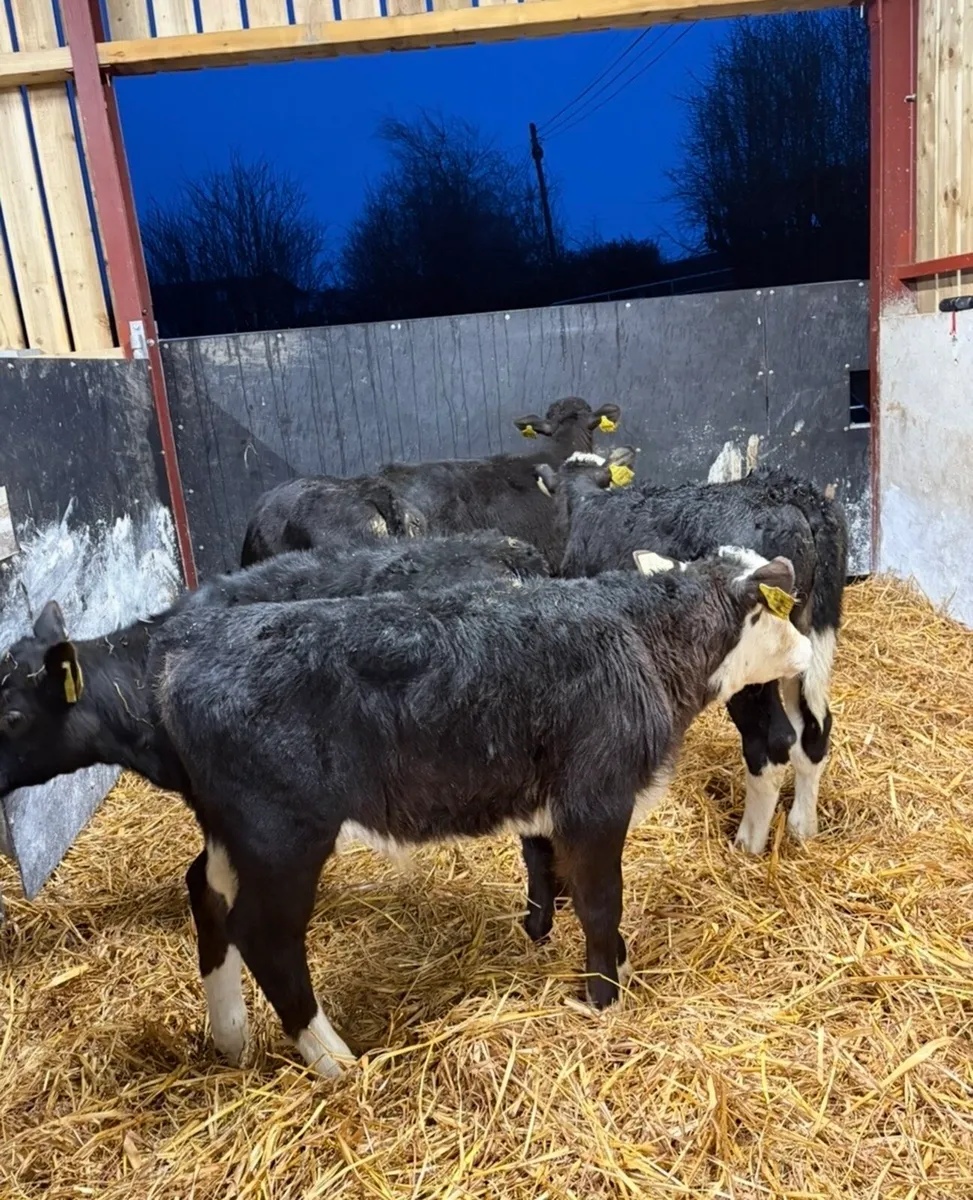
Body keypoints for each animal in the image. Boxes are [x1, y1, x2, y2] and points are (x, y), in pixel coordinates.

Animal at [128, 549, 812, 1077]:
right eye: (783, 611)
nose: (807, 650)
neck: (643, 639)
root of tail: (185, 649)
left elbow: (554, 878)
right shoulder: (595, 801)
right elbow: (599, 904)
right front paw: (603, 997)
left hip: (234, 831)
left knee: (206, 892)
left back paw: (231, 1035)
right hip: (283, 835)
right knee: (264, 935)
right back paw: (333, 1059)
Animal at [535, 448, 848, 874]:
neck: (587, 505)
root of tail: (791, 493)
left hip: (754, 666)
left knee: (772, 742)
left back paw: (748, 844)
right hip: (807, 644)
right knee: (814, 728)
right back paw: (802, 826)